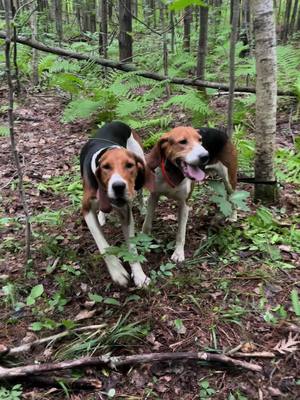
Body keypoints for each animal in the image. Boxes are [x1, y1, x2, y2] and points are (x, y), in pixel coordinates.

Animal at [79, 121, 154, 288]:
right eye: (106, 167)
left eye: (129, 165)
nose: (118, 186)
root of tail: (116, 122)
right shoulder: (86, 209)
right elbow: (102, 243)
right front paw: (117, 272)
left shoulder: (125, 212)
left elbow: (132, 247)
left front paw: (139, 275)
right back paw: (102, 216)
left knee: (139, 195)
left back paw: (143, 209)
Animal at [143, 126, 237, 262]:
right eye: (182, 142)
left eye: (200, 140)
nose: (205, 156)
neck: (174, 172)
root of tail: (222, 133)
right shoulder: (153, 196)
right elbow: (147, 223)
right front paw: (142, 241)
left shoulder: (184, 204)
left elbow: (181, 233)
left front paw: (178, 253)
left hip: (229, 179)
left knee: (233, 197)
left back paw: (233, 216)